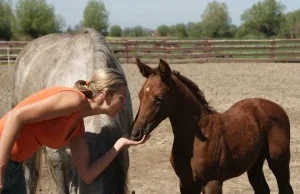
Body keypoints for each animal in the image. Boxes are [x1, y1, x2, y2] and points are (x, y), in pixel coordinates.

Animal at [129, 59, 292, 194]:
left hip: (279, 161)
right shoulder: (186, 183)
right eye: (139, 95)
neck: (196, 139)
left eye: (159, 98)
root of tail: (277, 107)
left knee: (285, 188)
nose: (136, 133)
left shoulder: (212, 183)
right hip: (254, 163)